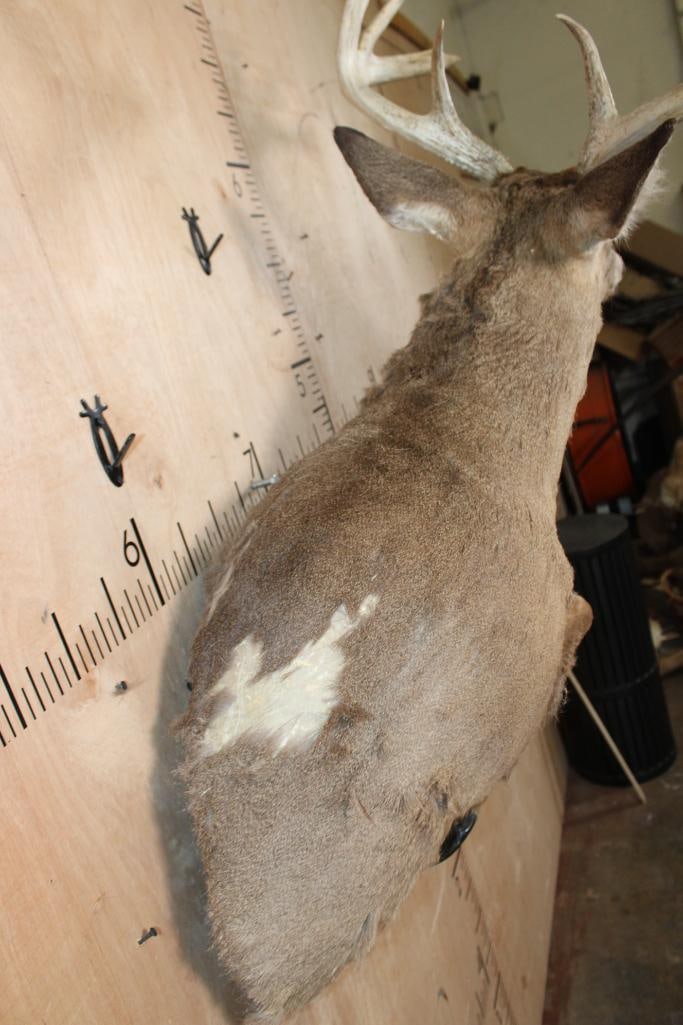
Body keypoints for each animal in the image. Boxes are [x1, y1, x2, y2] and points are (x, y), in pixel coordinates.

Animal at [175, 2, 683, 1020]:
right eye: (613, 244)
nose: (625, 274)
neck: (464, 437)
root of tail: (248, 957)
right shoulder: (560, 601)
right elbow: (584, 633)